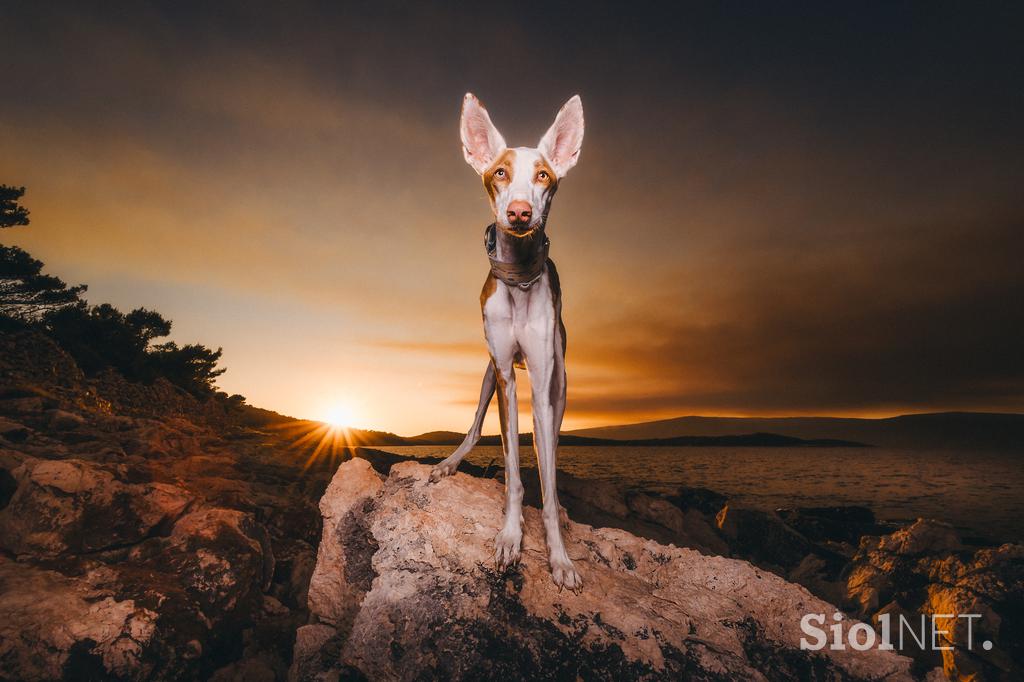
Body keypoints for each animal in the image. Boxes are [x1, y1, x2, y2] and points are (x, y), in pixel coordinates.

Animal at [425, 91, 585, 589]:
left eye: (543, 176)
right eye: (499, 172)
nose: (519, 213)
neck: (518, 280)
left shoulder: (541, 381)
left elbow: (547, 479)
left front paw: (559, 556)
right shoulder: (506, 380)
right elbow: (514, 471)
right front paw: (511, 536)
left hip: (561, 384)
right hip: (487, 377)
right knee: (475, 428)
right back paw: (448, 464)